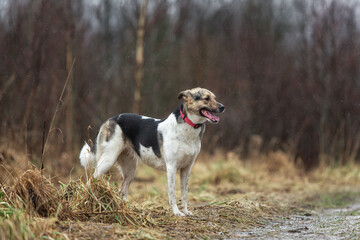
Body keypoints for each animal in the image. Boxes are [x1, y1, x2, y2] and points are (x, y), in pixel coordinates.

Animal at [80, 86, 224, 216]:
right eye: (206, 98)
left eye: (215, 98)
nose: (223, 107)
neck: (189, 126)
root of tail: (110, 119)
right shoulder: (171, 167)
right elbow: (172, 194)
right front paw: (177, 212)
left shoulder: (186, 169)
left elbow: (184, 194)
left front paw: (186, 211)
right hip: (107, 160)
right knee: (90, 181)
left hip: (131, 169)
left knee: (123, 190)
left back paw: (128, 209)